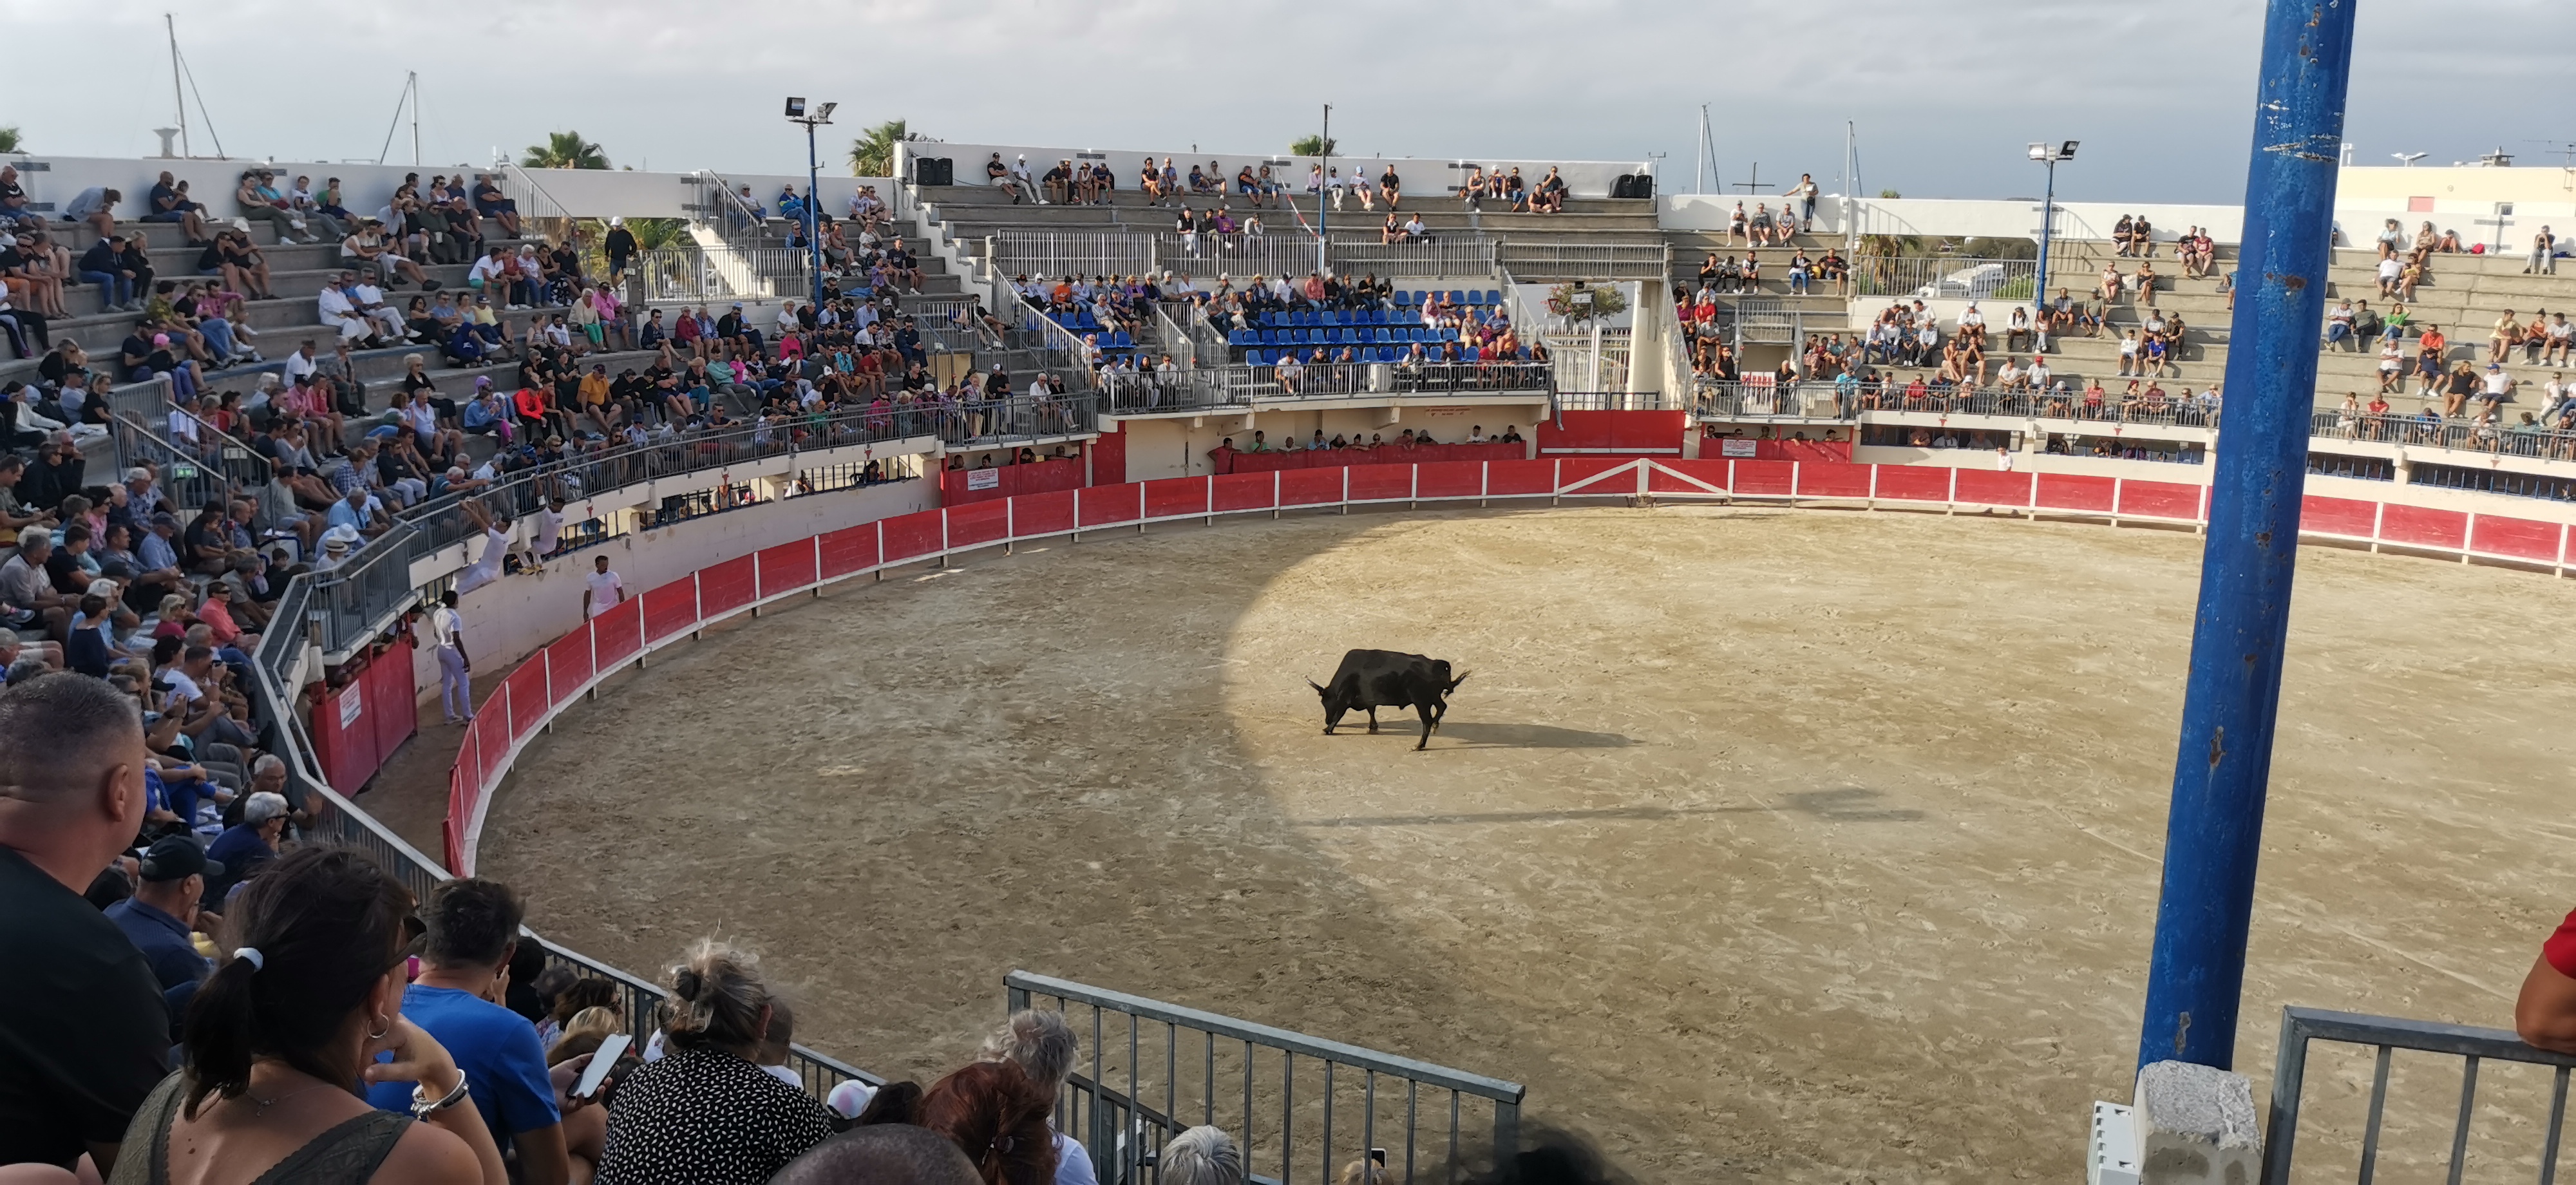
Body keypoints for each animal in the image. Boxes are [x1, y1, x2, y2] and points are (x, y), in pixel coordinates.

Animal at [1307, 649, 1470, 750]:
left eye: (1325, 702)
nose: (1327, 720)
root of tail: (1436, 664)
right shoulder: (1369, 699)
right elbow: (1371, 710)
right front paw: (1373, 726)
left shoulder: (1345, 699)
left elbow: (1340, 713)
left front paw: (1328, 729)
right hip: (1433, 698)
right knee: (1442, 707)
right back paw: (1435, 726)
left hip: (1421, 702)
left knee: (1427, 722)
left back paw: (1419, 745)